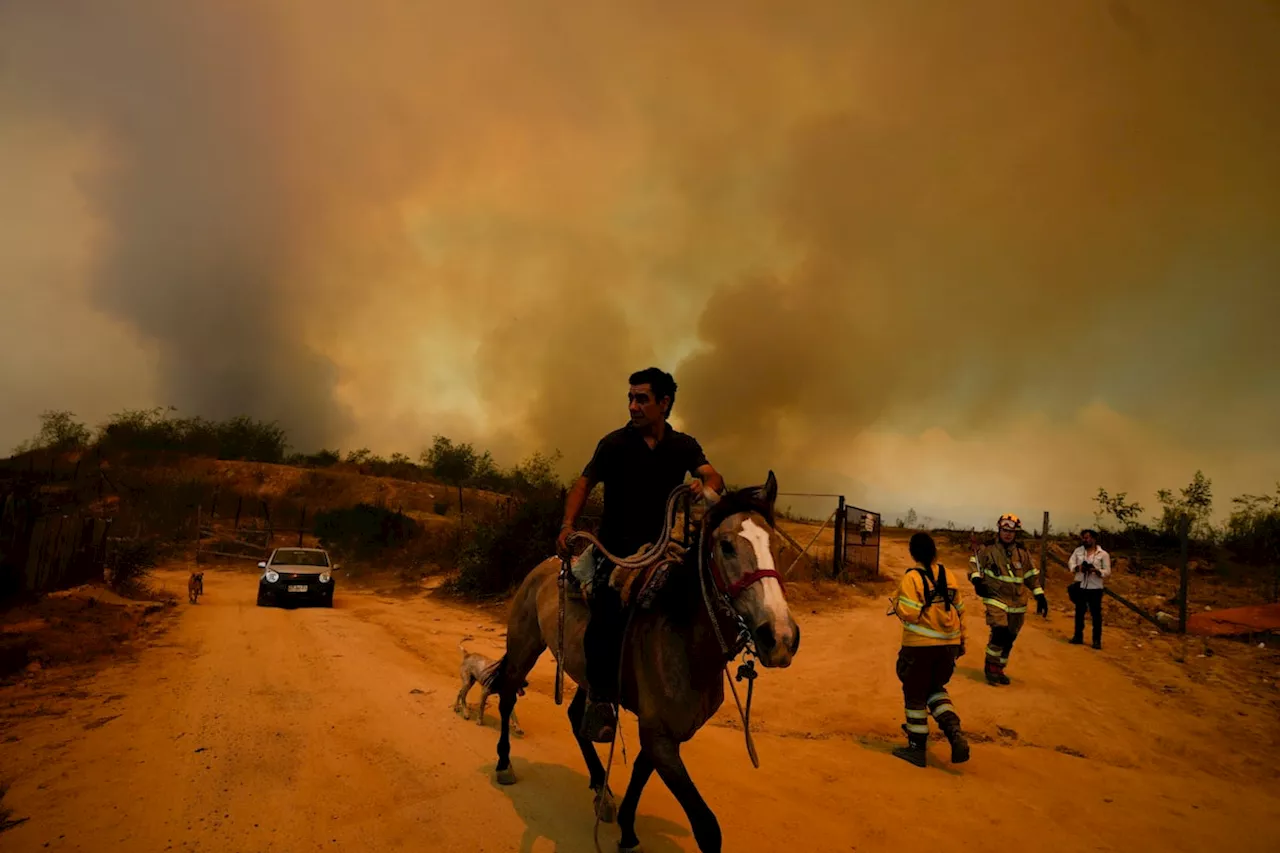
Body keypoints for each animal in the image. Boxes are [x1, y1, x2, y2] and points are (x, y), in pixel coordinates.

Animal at [486, 471, 798, 850]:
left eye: (778, 547)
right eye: (726, 546)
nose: (780, 638)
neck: (685, 638)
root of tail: (545, 566)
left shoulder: (666, 732)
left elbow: (639, 771)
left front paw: (627, 829)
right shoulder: (658, 735)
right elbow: (707, 828)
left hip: (590, 676)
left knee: (577, 718)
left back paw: (601, 789)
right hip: (524, 647)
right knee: (507, 697)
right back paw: (505, 764)